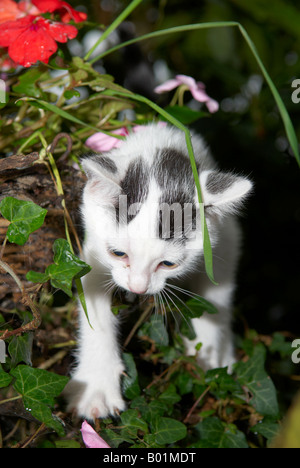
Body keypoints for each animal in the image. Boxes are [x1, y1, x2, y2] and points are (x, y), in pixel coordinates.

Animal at [64, 121, 252, 420]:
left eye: (168, 264)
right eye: (118, 253)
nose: (138, 287)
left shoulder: (227, 237)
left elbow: (216, 294)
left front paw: (211, 354)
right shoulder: (92, 252)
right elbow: (93, 302)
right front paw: (96, 385)